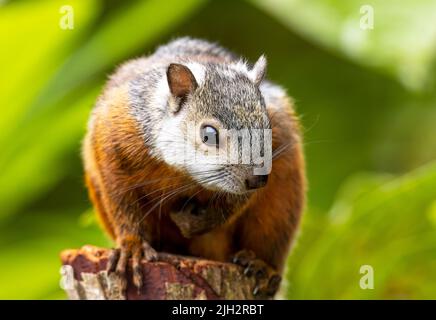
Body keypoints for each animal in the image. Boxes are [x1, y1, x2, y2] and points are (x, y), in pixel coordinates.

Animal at [82, 37, 306, 298]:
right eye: (208, 134)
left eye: (267, 127)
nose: (257, 180)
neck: (183, 174)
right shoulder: (111, 140)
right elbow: (121, 202)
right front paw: (132, 246)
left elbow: (233, 204)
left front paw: (194, 222)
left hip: (282, 202)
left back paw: (263, 267)